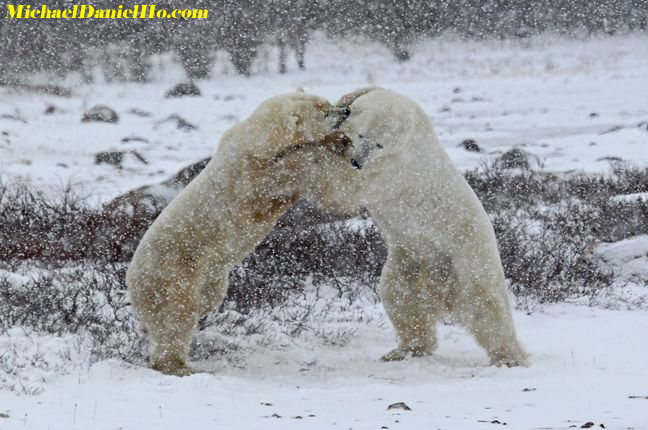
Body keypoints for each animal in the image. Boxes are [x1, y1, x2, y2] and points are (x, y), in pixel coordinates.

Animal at [125, 91, 354, 376]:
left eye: (328, 103)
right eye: (324, 111)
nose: (346, 111)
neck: (260, 139)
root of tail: (131, 282)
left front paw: (342, 145)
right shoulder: (244, 174)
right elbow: (278, 177)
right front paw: (322, 149)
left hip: (212, 276)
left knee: (203, 302)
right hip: (174, 271)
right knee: (178, 313)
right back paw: (180, 366)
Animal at [336, 89, 528, 368]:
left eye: (380, 144)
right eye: (362, 135)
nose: (357, 161)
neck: (415, 128)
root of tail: (443, 293)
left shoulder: (394, 167)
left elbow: (353, 187)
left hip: (470, 261)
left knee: (489, 308)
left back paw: (510, 357)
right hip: (409, 261)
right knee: (400, 299)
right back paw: (404, 350)